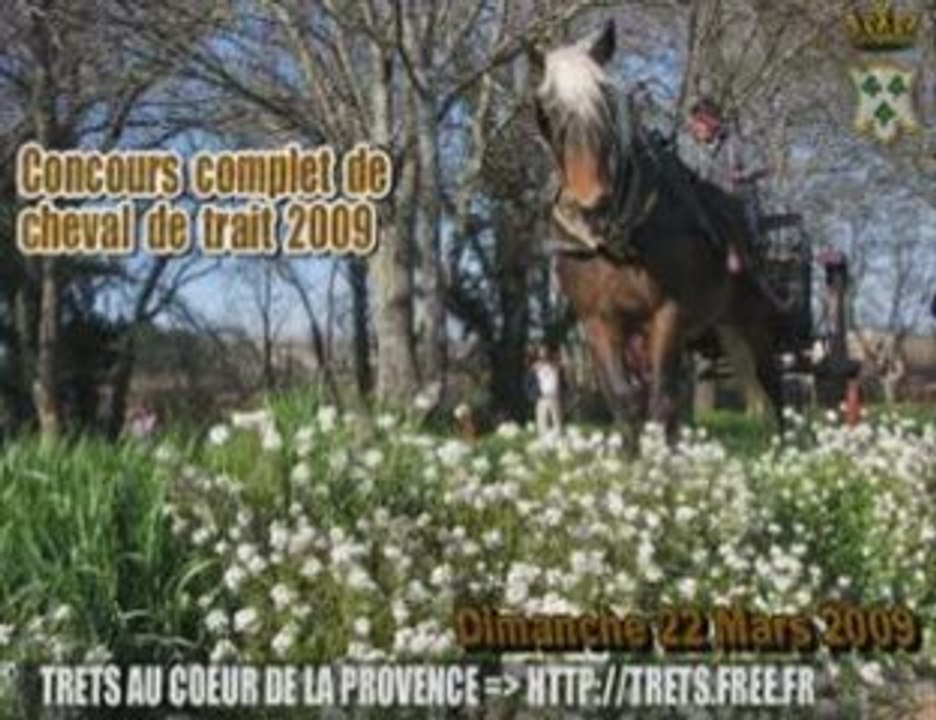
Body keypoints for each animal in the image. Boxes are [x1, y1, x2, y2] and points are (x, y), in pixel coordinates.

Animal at [531, 20, 789, 437]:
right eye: (545, 108)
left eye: (607, 97)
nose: (590, 200)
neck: (616, 240)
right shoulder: (598, 321)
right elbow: (625, 401)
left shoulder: (668, 313)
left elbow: (662, 400)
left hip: (754, 319)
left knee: (771, 379)